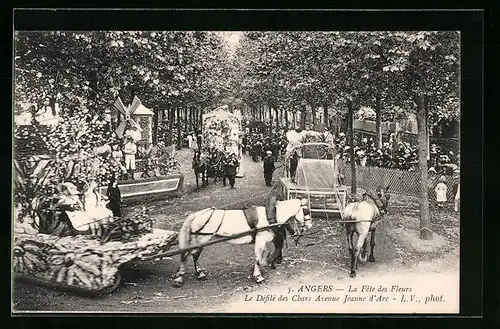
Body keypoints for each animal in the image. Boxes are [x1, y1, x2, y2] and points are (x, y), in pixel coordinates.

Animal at [174, 196, 310, 286]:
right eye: (306, 211)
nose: (310, 225)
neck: (270, 215)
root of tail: (196, 215)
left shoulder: (262, 241)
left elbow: (264, 255)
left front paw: (263, 266)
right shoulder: (260, 240)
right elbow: (257, 258)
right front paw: (258, 277)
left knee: (193, 254)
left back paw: (198, 274)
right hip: (201, 238)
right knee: (188, 254)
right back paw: (180, 278)